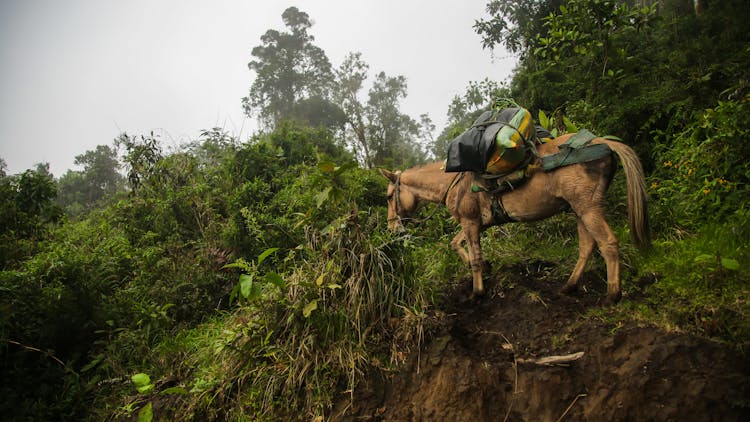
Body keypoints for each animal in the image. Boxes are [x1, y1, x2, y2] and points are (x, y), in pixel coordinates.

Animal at [384, 135, 648, 304]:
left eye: (387, 197)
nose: (392, 227)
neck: (453, 183)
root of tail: (603, 142)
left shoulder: (470, 222)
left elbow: (474, 258)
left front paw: (477, 292)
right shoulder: (478, 223)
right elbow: (456, 244)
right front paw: (485, 268)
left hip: (588, 208)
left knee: (608, 243)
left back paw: (612, 295)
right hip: (579, 209)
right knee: (587, 246)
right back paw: (569, 287)